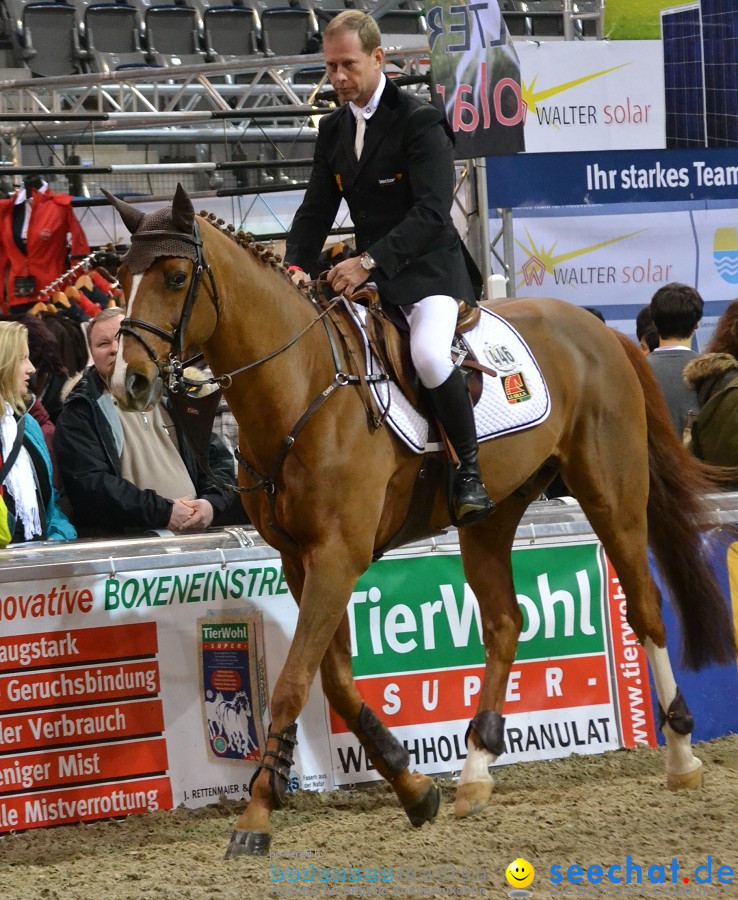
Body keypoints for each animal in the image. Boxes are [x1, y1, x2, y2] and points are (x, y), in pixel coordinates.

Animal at [106, 188, 732, 856]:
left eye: (175, 278)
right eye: (120, 279)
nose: (129, 383)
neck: (301, 383)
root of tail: (601, 332)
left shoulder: (338, 554)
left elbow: (295, 681)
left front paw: (255, 817)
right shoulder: (300, 560)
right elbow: (335, 680)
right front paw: (410, 783)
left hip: (612, 496)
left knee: (645, 607)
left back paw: (681, 756)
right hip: (491, 517)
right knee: (506, 623)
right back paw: (476, 771)